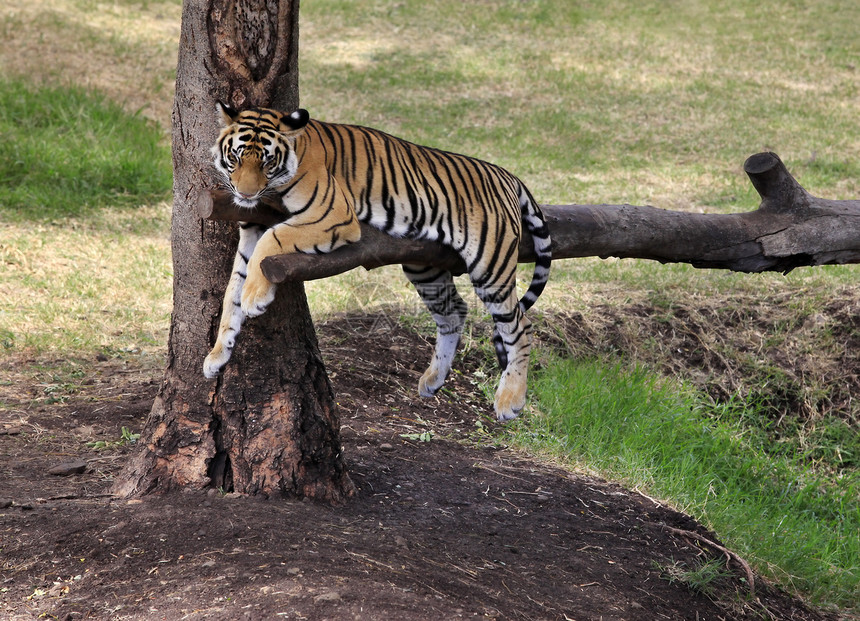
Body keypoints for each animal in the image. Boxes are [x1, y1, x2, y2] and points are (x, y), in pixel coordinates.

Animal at [203, 103, 552, 422]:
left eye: (267, 161)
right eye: (236, 158)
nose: (246, 194)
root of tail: (507, 174)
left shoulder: (333, 214)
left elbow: (271, 239)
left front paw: (255, 298)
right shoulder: (252, 229)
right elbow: (232, 290)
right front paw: (217, 355)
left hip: (489, 266)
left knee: (520, 326)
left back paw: (510, 400)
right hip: (423, 267)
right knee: (454, 311)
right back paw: (433, 380)